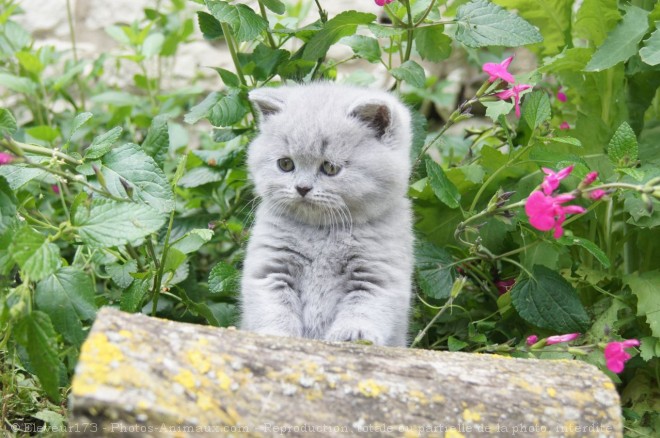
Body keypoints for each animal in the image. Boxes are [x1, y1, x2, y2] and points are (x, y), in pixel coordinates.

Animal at [237, 83, 412, 346]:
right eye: (286, 164)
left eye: (330, 168)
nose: (302, 188)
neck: (322, 232)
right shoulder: (271, 266)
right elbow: (275, 306)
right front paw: (277, 334)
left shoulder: (377, 273)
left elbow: (364, 306)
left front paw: (354, 335)